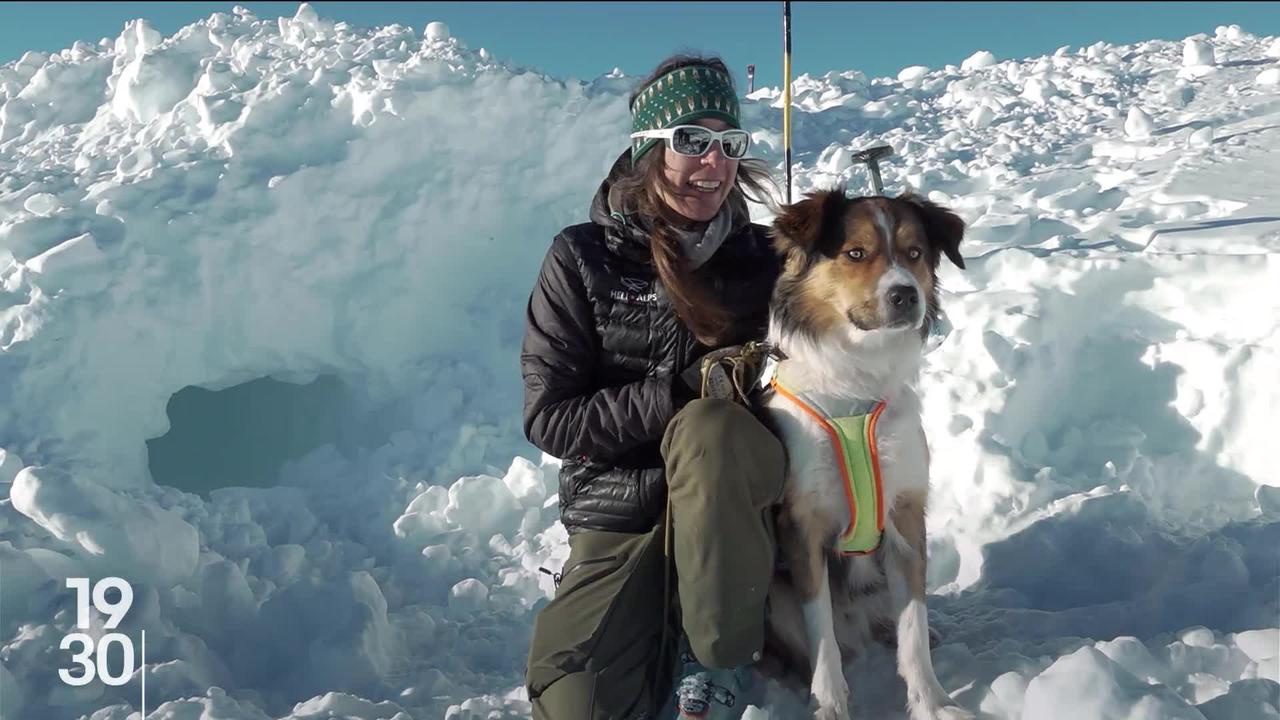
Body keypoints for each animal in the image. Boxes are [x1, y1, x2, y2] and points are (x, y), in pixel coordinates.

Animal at [752, 188, 972, 712]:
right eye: (855, 253)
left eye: (914, 253)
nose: (905, 295)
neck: (854, 387)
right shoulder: (803, 526)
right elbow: (822, 639)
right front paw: (830, 706)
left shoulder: (906, 514)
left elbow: (914, 626)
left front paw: (932, 703)